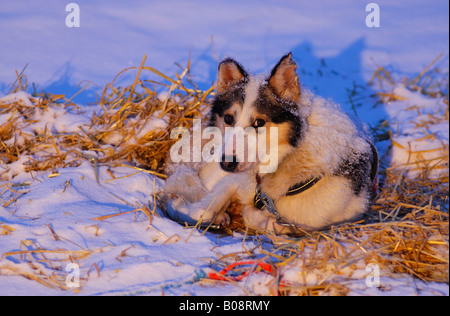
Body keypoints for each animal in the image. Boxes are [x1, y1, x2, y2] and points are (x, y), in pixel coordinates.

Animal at [160, 52, 378, 235]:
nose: (227, 163)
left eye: (259, 122)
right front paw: (184, 206)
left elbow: (265, 219)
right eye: (229, 118)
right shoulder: (233, 181)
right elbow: (204, 210)